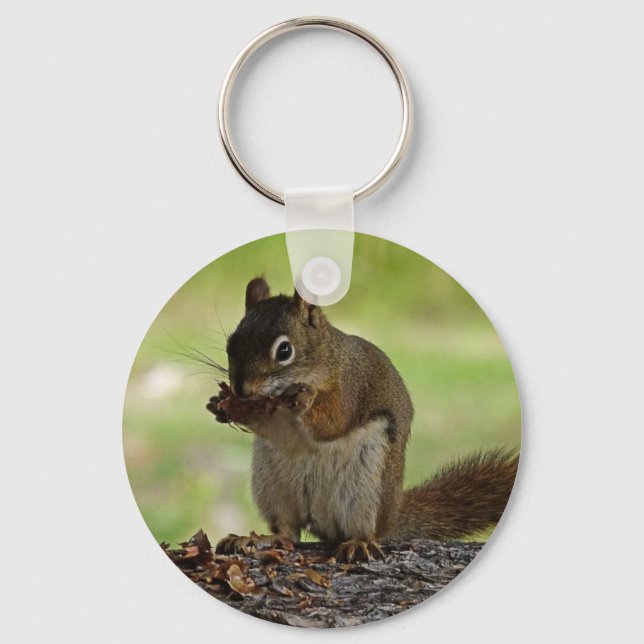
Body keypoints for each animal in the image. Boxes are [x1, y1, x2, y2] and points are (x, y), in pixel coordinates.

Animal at [207, 277, 519, 562]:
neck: (322, 362)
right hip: (272, 486)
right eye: (230, 345)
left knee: (365, 530)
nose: (241, 390)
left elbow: (333, 422)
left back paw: (358, 543)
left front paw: (305, 399)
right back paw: (259, 539)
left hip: (369, 487)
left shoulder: (350, 387)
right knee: (288, 531)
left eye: (284, 351)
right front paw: (218, 405)